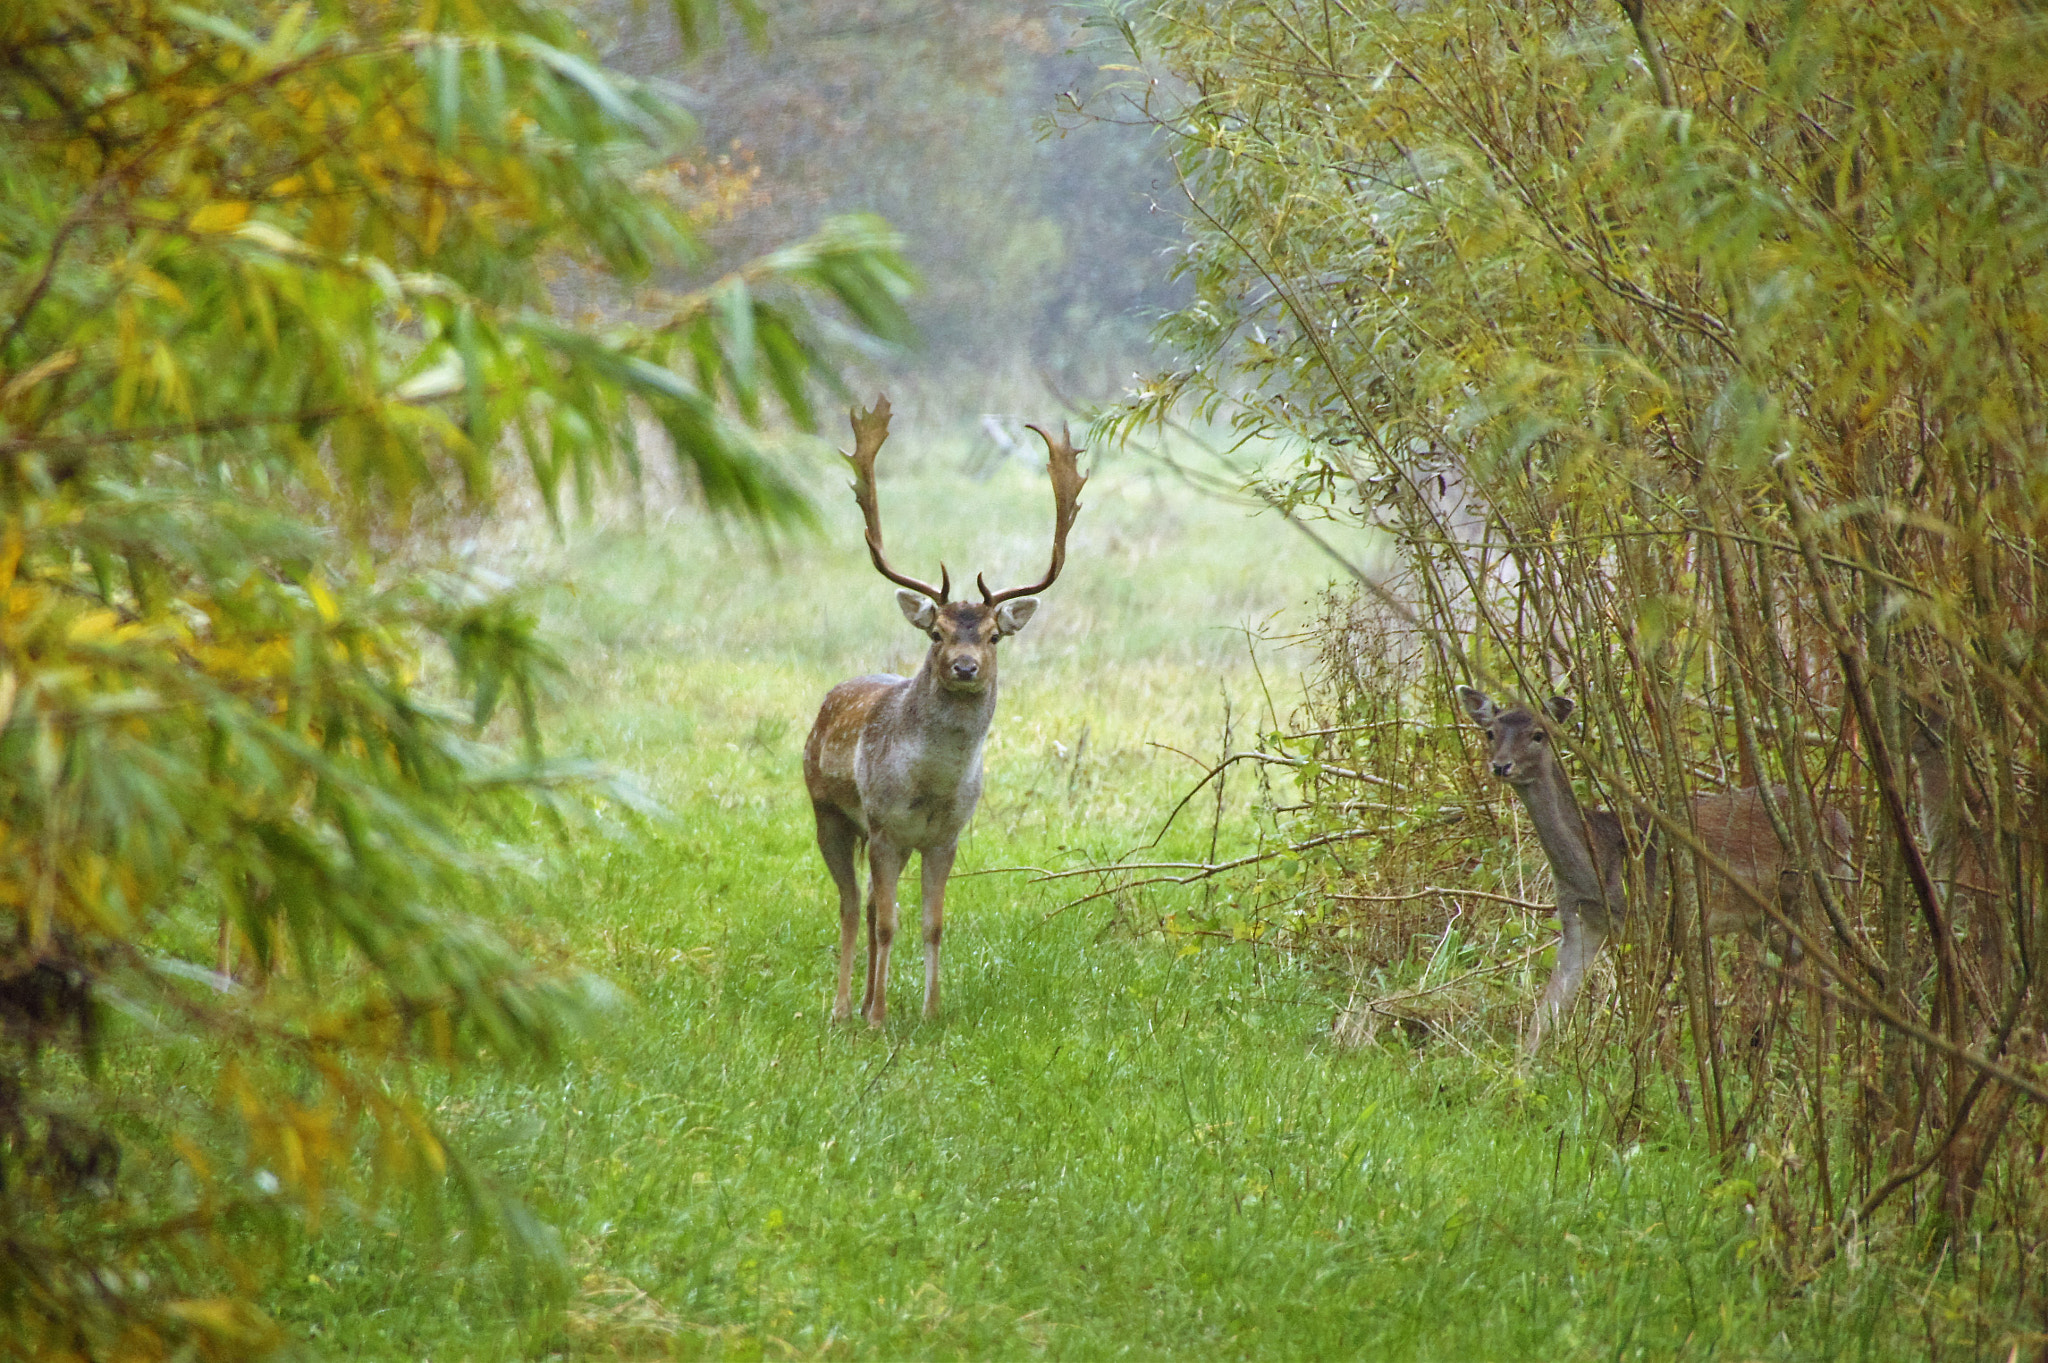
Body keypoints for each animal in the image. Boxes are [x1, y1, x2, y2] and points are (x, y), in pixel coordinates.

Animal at [803, 396, 1084, 1026]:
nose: (963, 666)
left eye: (993, 636)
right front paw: (880, 1018)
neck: (931, 786)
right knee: (850, 906)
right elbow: (888, 923)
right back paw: (844, 1009)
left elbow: (931, 924)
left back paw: (862, 1001)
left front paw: (931, 1013)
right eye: (936, 632)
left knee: (868, 905)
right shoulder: (885, 824)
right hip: (829, 813)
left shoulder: (945, 835)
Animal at [1456, 687, 1852, 1055]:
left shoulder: (1659, 915)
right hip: (1765, 917)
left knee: (1829, 972)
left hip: (1817, 891)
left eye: (1539, 734)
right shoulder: (1579, 921)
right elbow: (1549, 1008)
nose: (1501, 766)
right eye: (1490, 732)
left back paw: (1830, 1059)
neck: (1599, 864)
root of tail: (1841, 822)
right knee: (1804, 965)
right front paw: (1519, 1071)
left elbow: (1656, 1012)